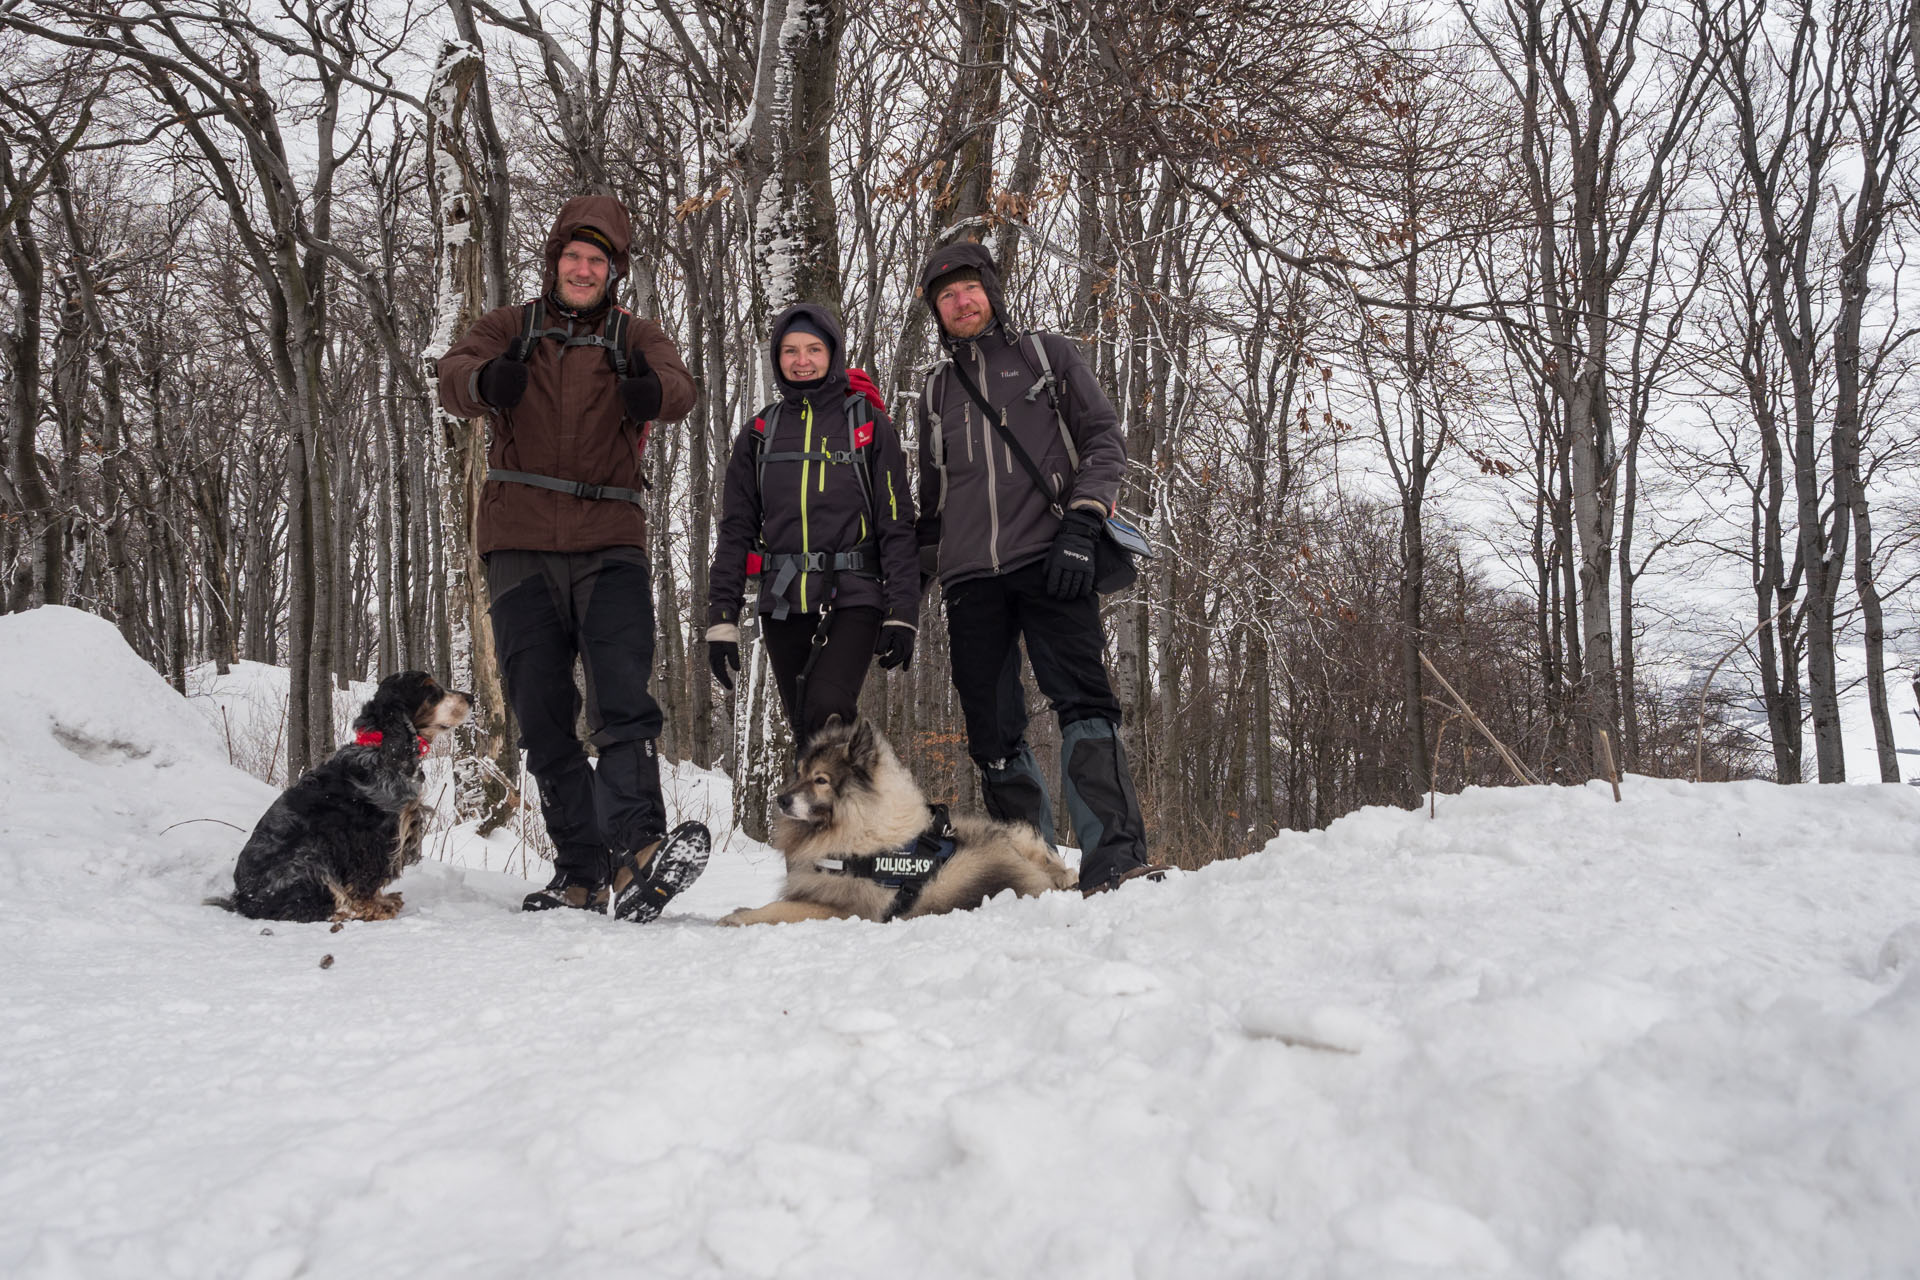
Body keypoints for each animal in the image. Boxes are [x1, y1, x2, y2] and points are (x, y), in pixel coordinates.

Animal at [211, 671, 472, 921]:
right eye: (431, 691)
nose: (470, 697)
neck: (381, 746)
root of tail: (242, 900)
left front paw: (383, 900)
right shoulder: (372, 836)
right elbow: (366, 879)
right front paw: (375, 907)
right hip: (307, 857)